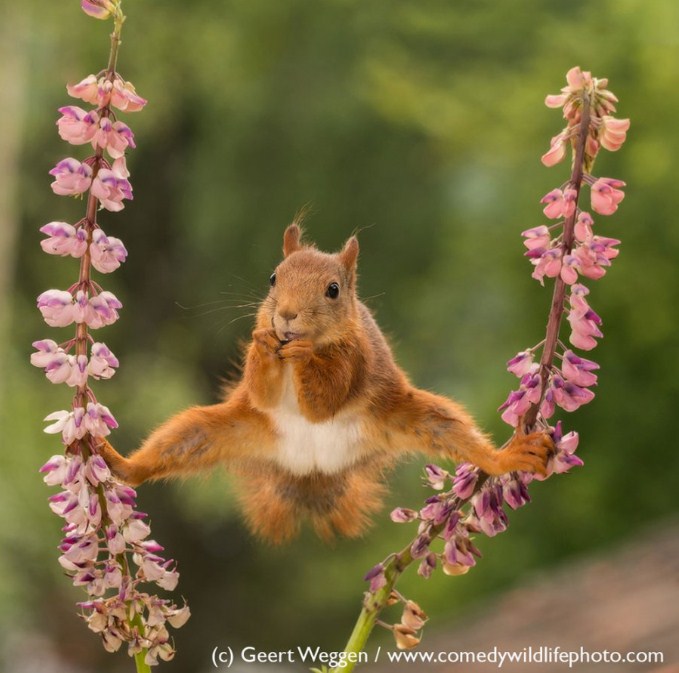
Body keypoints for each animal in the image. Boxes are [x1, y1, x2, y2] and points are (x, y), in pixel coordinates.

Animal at [98, 223, 556, 544]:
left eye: (333, 290)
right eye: (272, 278)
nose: (285, 316)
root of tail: (312, 470)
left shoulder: (355, 360)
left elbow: (324, 402)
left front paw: (303, 357)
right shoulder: (261, 389)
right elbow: (263, 392)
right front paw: (265, 343)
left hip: (411, 416)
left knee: (456, 434)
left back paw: (508, 456)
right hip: (221, 430)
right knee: (173, 446)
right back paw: (117, 461)